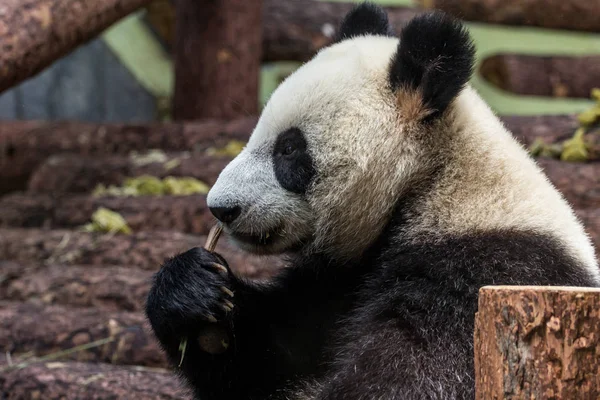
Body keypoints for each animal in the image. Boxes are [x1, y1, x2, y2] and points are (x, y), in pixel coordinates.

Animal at [146, 3, 600, 400]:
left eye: (289, 149)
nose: (221, 207)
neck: (432, 183)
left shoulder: (485, 269)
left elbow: (419, 375)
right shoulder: (336, 281)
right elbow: (270, 356)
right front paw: (193, 290)